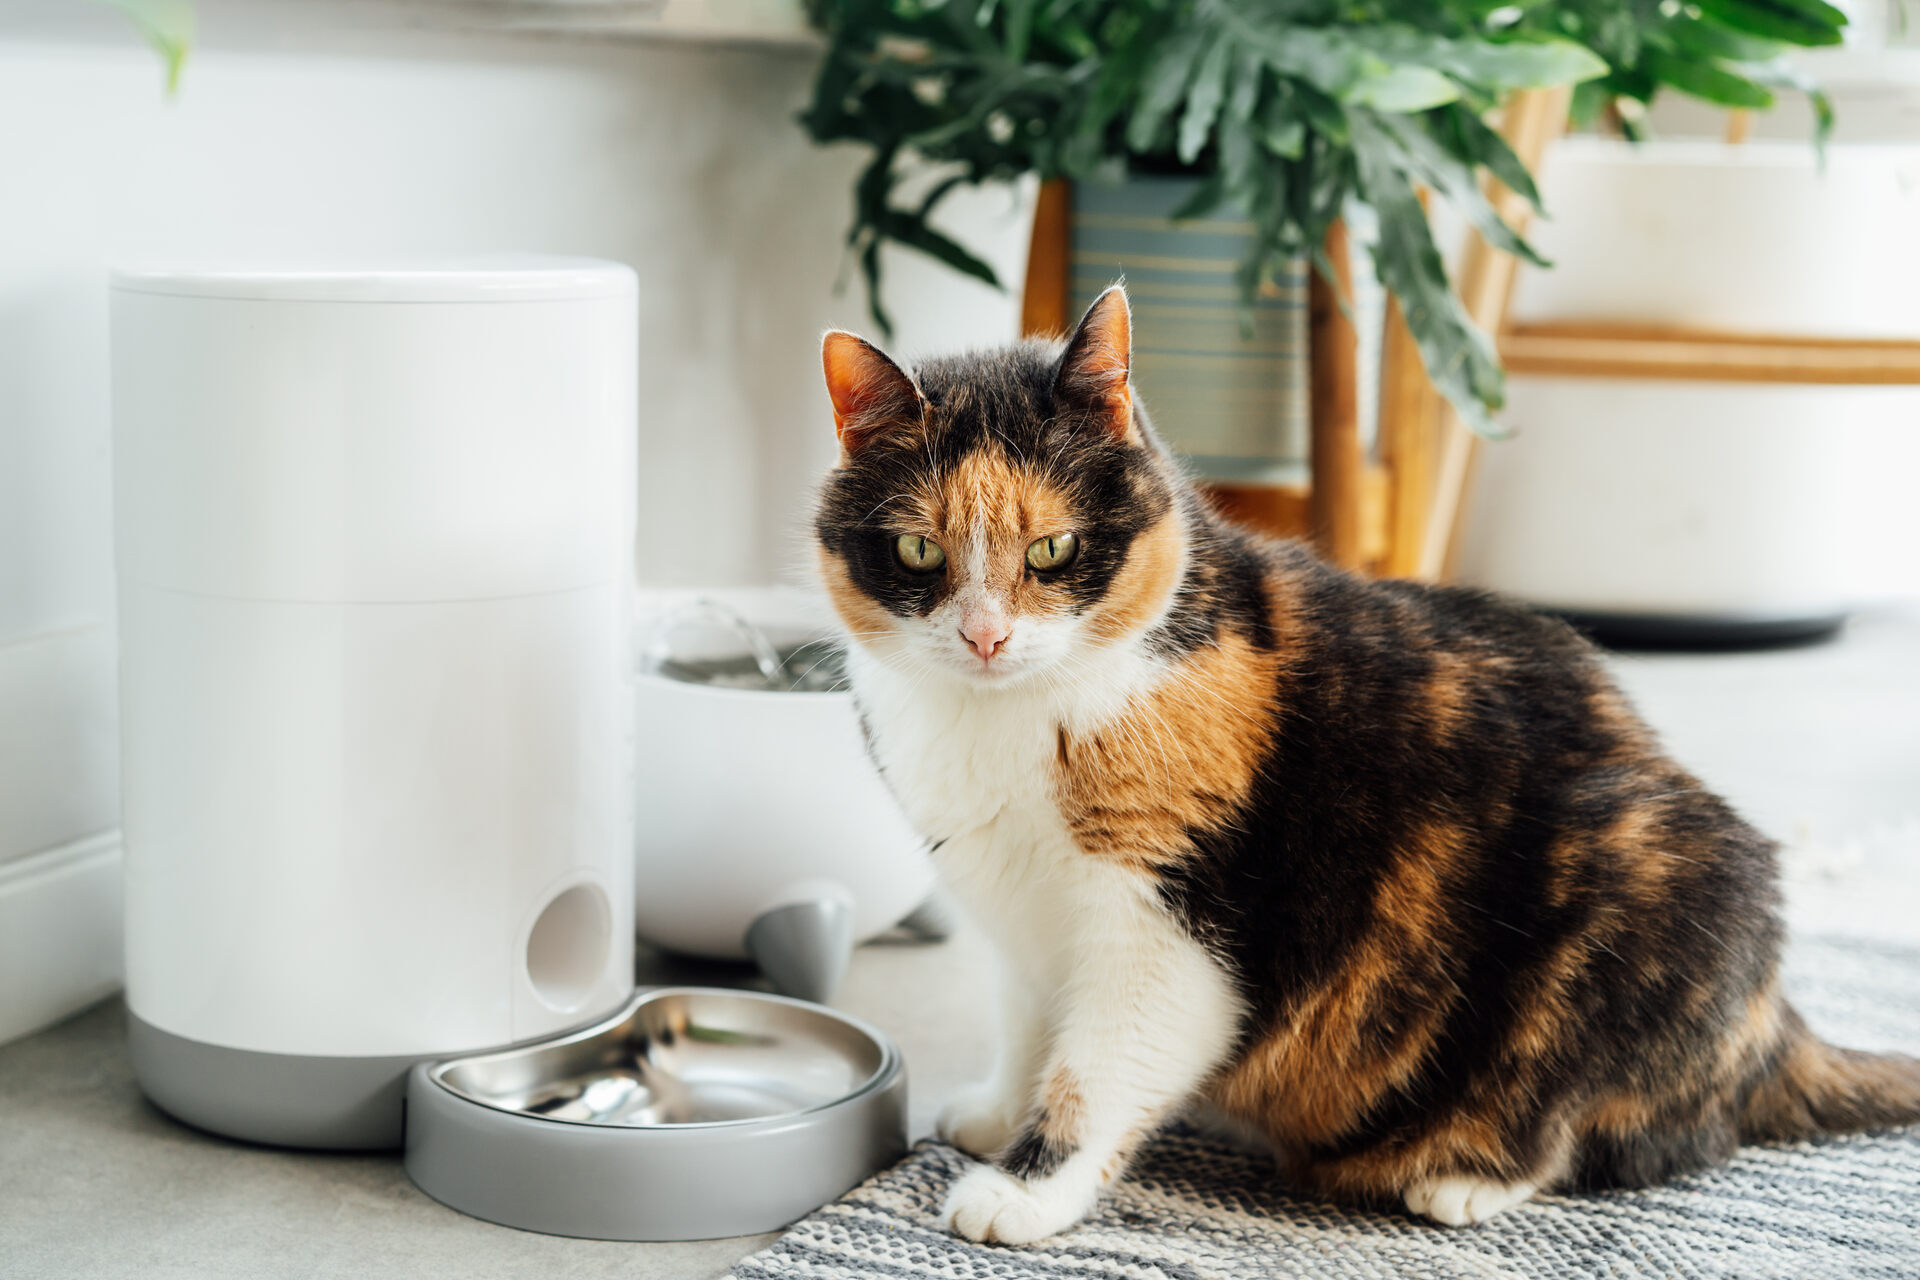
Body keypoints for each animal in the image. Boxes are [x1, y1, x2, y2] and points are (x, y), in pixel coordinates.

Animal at [810, 287, 1920, 1243]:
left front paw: (1025, 1188)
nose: (987, 636)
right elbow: (1027, 1019)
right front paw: (998, 1112)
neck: (1004, 721)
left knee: (1624, 1132)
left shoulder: (1168, 932)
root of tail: (1778, 1020)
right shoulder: (1015, 913)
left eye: (1053, 550)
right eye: (917, 551)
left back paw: (1462, 1175)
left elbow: (1099, 1066)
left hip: (1655, 870)